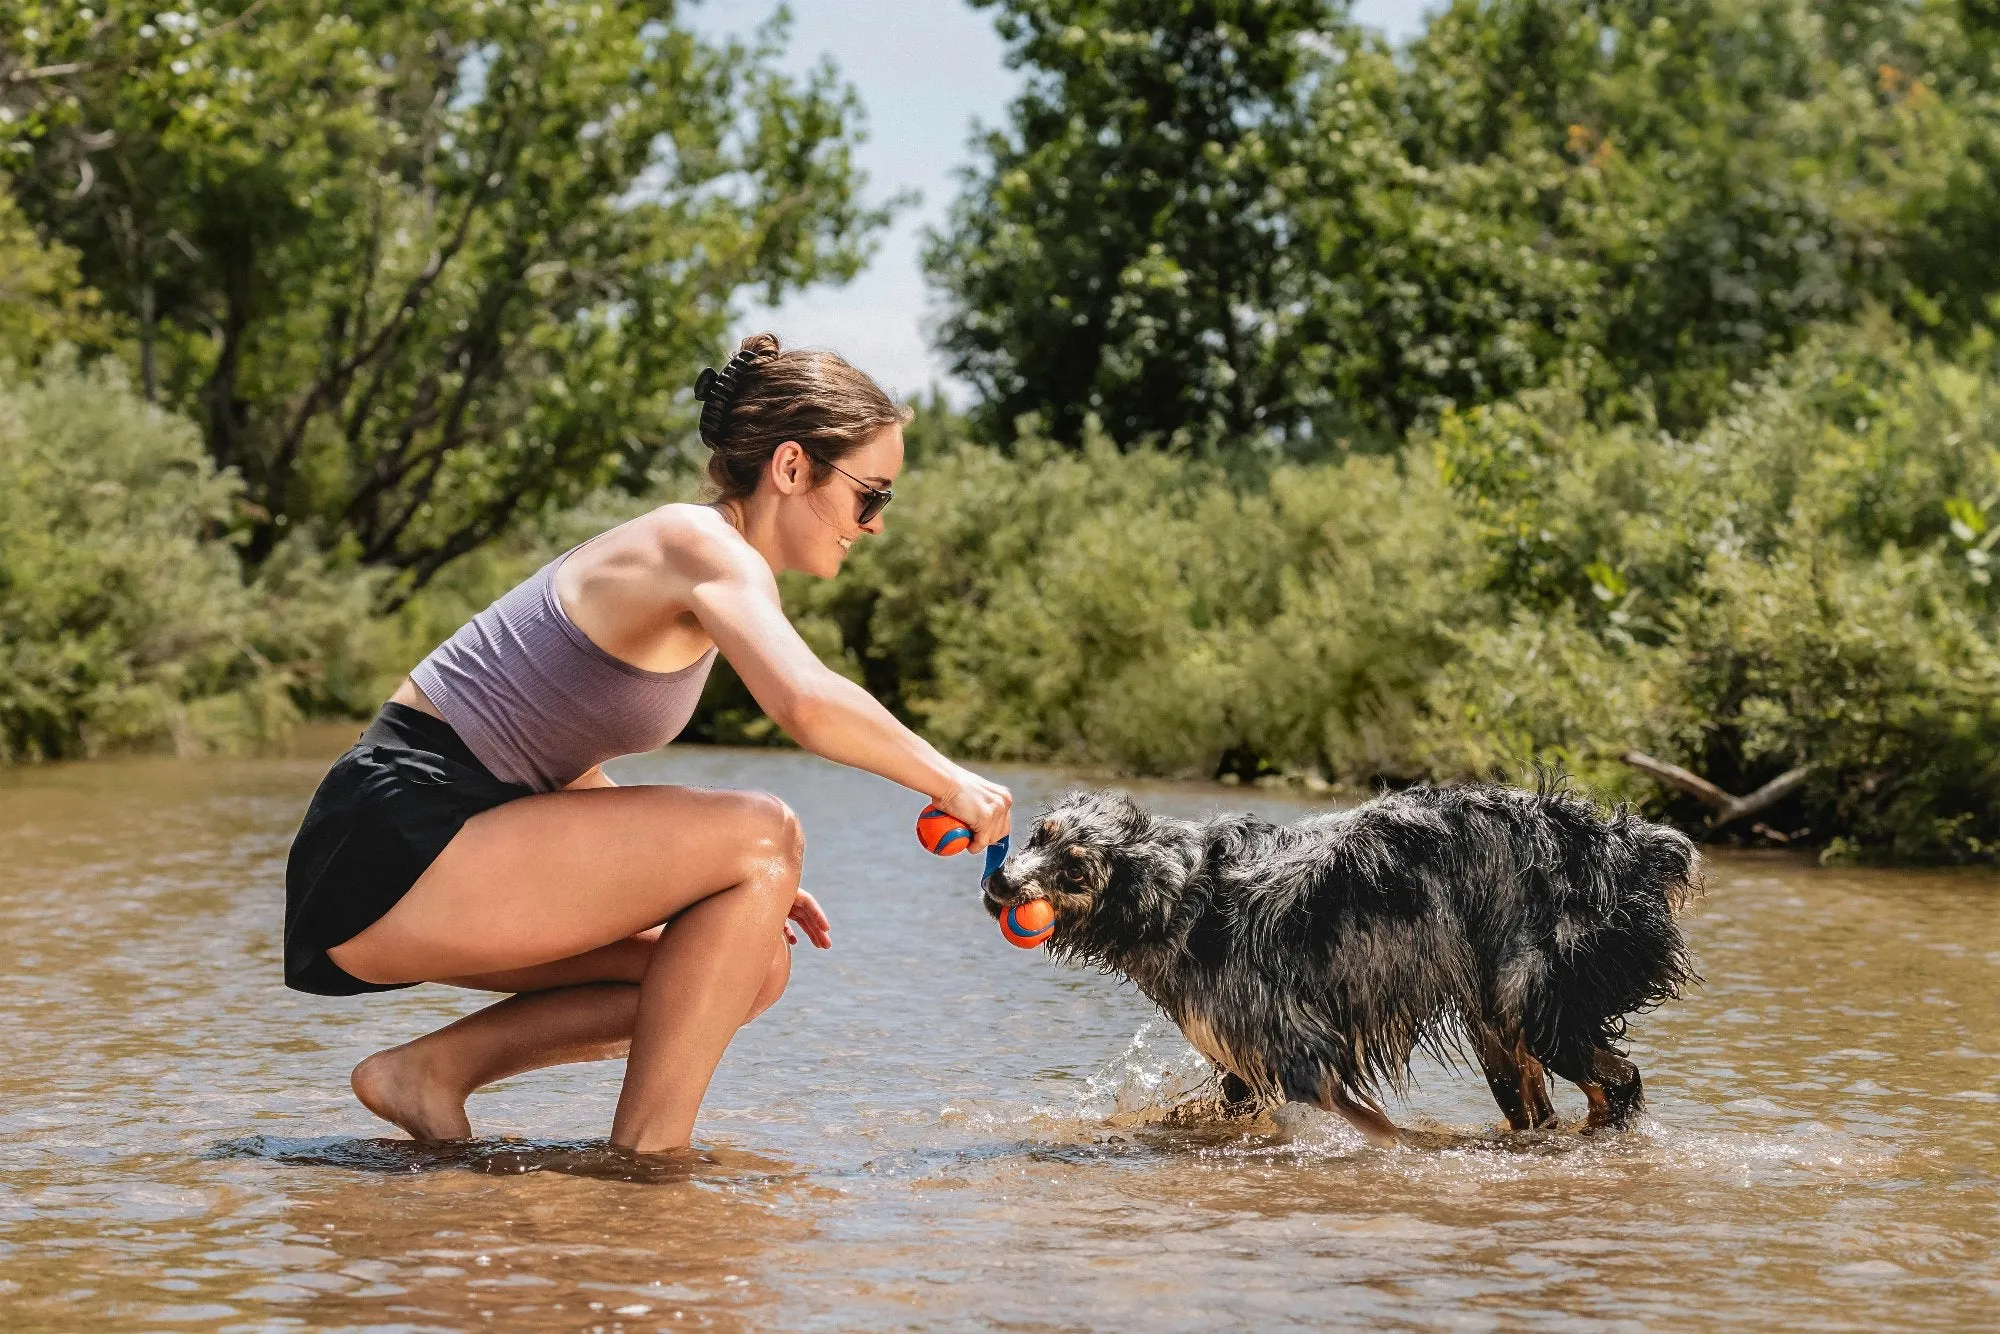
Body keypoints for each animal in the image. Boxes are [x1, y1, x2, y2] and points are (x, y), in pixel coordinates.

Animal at [984, 784, 1704, 1152]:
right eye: (1040, 835)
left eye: (1075, 872)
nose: (999, 884)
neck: (1186, 896)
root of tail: (1625, 846)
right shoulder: (1245, 1061)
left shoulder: (1302, 1054)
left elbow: (1375, 1125)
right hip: (1500, 1029)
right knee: (1548, 1105)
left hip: (1537, 1004)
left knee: (1621, 1082)